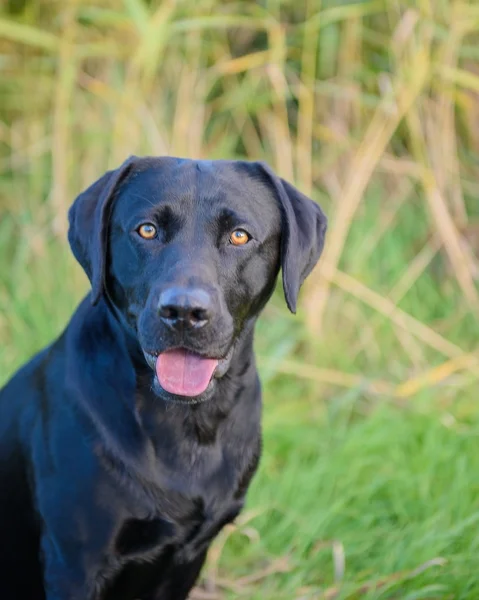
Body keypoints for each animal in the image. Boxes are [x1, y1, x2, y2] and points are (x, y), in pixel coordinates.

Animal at [0, 157, 326, 596]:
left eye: (239, 236)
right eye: (147, 230)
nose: (184, 311)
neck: (186, 425)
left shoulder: (189, 555)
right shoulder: (74, 562)